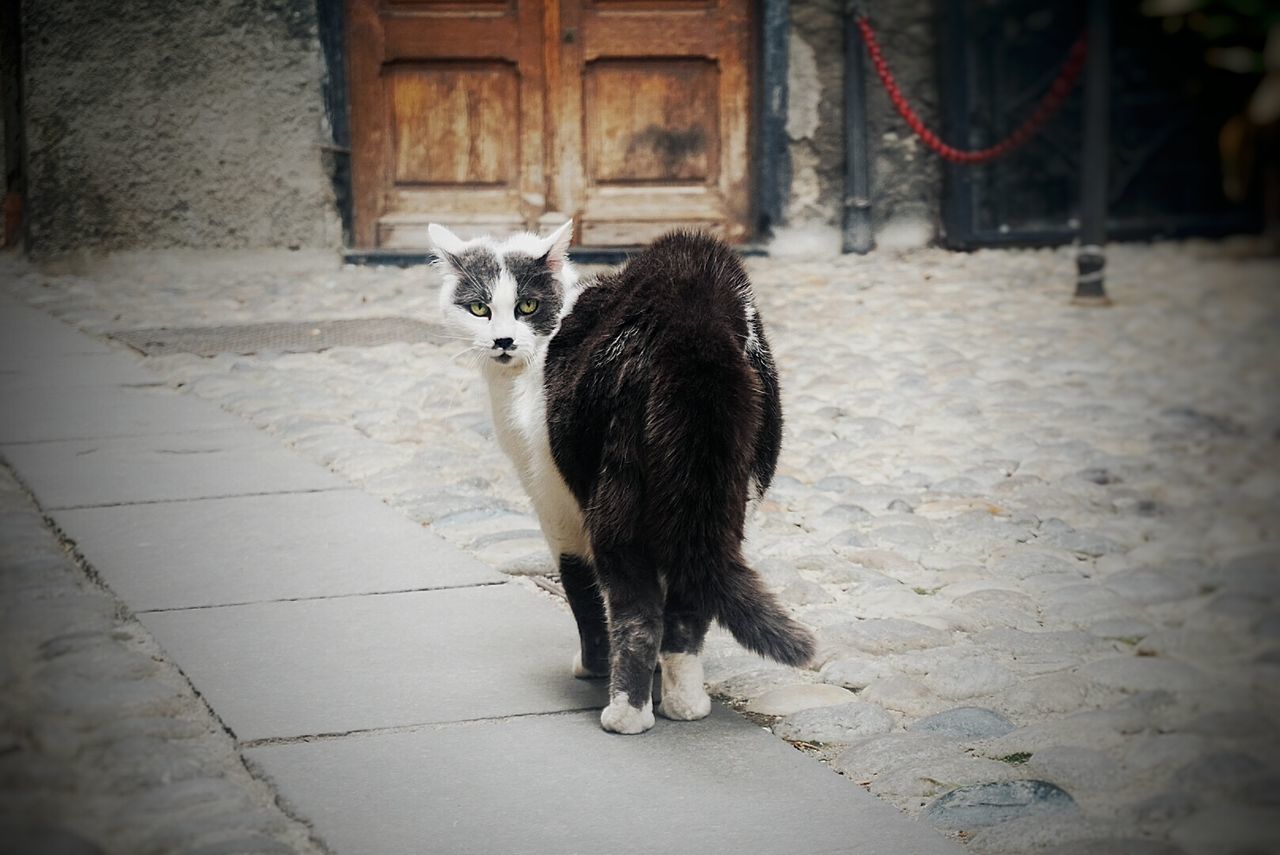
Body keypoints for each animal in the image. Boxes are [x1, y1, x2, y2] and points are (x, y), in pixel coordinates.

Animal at [427, 220, 808, 737]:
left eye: (527, 307)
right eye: (478, 308)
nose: (503, 341)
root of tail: (693, 322)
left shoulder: (555, 504)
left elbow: (581, 591)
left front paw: (593, 667)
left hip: (617, 494)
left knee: (636, 610)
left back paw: (627, 713)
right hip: (725, 493)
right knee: (689, 599)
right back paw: (686, 702)